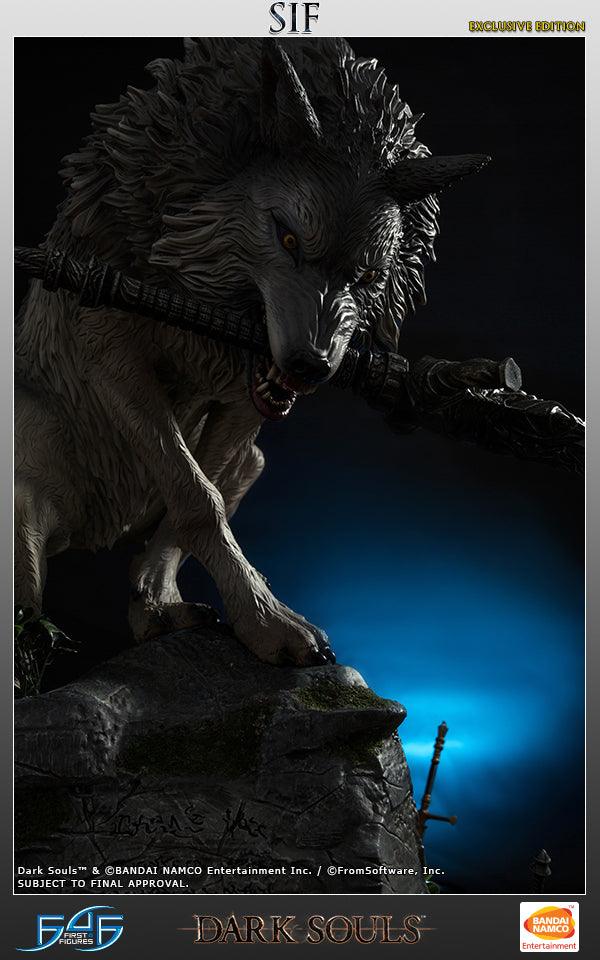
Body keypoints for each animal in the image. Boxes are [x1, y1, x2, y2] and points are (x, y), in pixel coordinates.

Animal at [15, 39, 487, 666]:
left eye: (366, 275)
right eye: (287, 237)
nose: (310, 366)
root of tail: (91, 534)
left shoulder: (245, 402)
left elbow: (196, 501)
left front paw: (183, 608)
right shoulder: (109, 353)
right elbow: (198, 496)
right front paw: (272, 623)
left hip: (254, 463)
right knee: (27, 607)